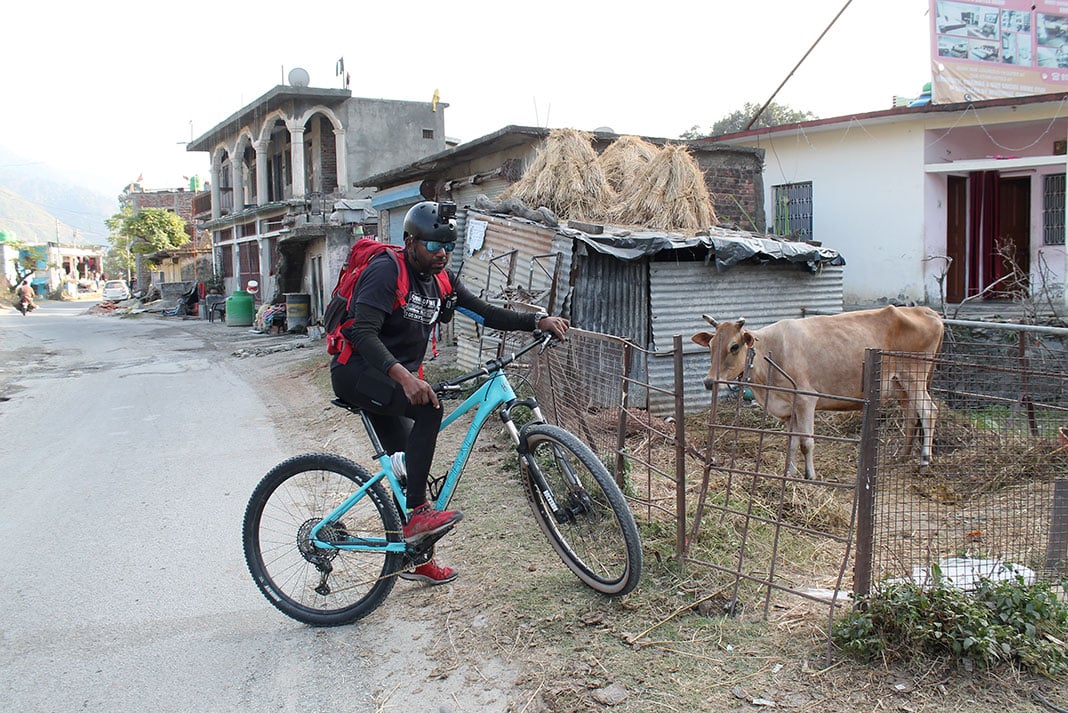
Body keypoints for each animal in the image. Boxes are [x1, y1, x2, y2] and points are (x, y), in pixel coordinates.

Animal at [692, 305, 944, 478]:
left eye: (734, 346)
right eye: (710, 346)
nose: (709, 381)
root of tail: (926, 310)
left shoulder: (805, 400)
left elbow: (807, 443)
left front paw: (810, 476)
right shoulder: (789, 408)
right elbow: (792, 443)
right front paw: (790, 473)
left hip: (913, 377)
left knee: (928, 411)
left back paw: (924, 462)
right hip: (899, 386)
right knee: (911, 415)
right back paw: (903, 456)